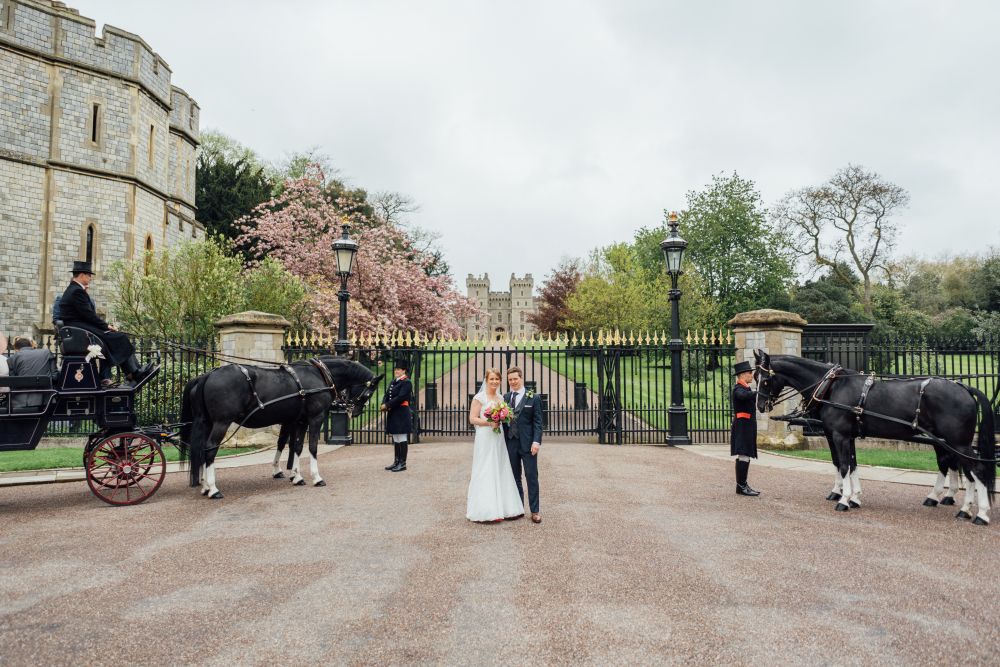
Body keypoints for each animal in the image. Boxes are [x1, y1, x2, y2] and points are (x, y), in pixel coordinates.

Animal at [180, 358, 382, 498]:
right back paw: (213, 489)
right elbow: (312, 447)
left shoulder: (300, 421)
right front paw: (316, 477)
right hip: (221, 423)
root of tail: (207, 375)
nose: (355, 412)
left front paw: (297, 476)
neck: (320, 375)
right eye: (370, 392)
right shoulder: (315, 419)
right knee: (210, 449)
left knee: (201, 450)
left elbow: (297, 447)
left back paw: (205, 486)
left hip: (207, 422)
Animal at [752, 350, 996, 528]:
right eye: (755, 377)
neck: (831, 387)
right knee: (960, 467)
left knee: (976, 469)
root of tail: (964, 387)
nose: (760, 406)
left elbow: (843, 465)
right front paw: (854, 497)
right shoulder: (845, 436)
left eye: (765, 380)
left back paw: (980, 513)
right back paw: (958, 505)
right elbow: (850, 465)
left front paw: (844, 499)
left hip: (958, 442)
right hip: (949, 441)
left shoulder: (839, 435)